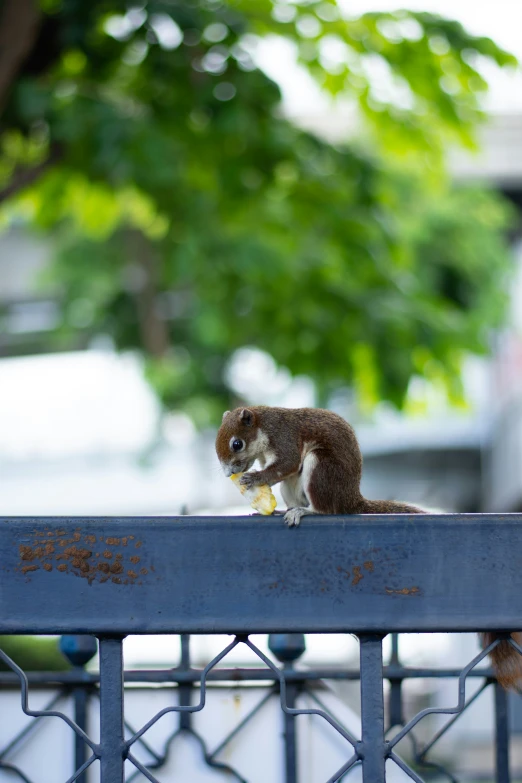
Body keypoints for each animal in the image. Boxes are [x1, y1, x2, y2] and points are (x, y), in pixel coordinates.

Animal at [215, 404, 422, 528]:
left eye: (237, 444)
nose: (228, 473)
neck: (264, 427)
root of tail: (350, 500)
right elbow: (278, 473)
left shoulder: (284, 439)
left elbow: (288, 464)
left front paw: (253, 478)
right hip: (290, 488)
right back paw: (282, 510)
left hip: (321, 468)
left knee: (326, 510)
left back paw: (303, 511)